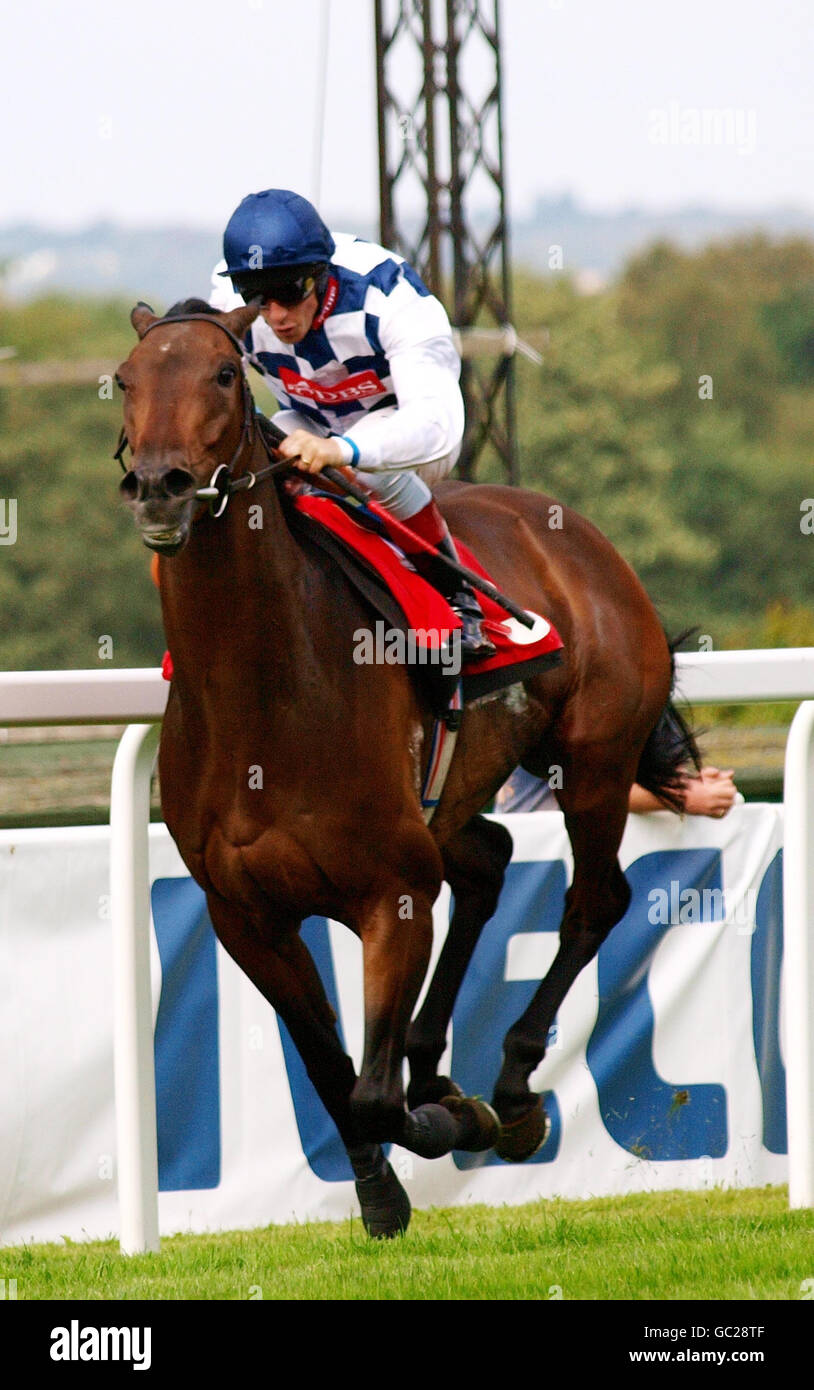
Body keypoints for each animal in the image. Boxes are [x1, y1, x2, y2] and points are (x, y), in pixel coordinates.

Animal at [117, 301, 694, 1239]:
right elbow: (331, 1076)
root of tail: (571, 530)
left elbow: (374, 1093)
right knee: (490, 862)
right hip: (456, 798)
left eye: (223, 374)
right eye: (127, 378)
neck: (259, 696)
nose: (161, 485)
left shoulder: (393, 894)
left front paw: (456, 1118)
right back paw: (442, 1067)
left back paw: (511, 1091)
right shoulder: (246, 917)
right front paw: (382, 1191)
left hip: (595, 759)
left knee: (593, 901)